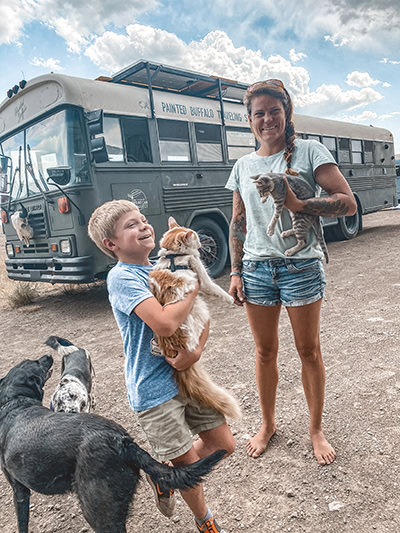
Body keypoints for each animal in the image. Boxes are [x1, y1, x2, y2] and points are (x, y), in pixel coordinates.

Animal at [0, 354, 225, 532]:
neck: (14, 402)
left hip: (98, 512)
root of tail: (122, 441)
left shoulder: (19, 490)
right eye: (33, 362)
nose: (47, 355)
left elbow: (22, 523)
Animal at [148, 216, 239, 420]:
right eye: (196, 236)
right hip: (202, 310)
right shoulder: (202, 278)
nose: (201, 242)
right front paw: (231, 299)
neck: (173, 257)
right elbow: (217, 289)